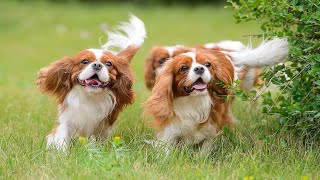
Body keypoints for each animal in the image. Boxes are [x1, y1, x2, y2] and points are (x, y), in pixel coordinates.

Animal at [37, 14, 146, 151]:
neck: (90, 96)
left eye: (109, 63)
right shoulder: (67, 119)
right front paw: (60, 152)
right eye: (84, 61)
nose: (97, 65)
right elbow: (62, 137)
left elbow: (99, 139)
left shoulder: (104, 126)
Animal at [144, 37, 288, 153]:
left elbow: (206, 145)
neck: (193, 100)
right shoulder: (170, 125)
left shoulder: (213, 122)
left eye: (207, 64)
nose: (200, 68)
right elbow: (167, 146)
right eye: (183, 68)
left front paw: (201, 159)